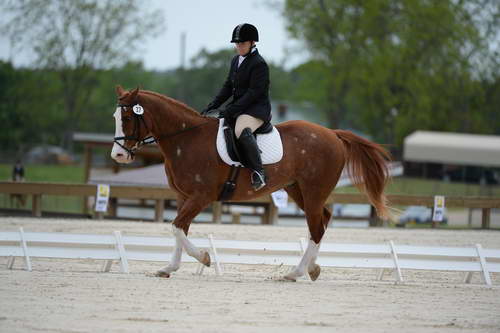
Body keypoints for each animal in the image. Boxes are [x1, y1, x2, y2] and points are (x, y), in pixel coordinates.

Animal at [111, 85, 392, 280]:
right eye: (115, 117)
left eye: (127, 118)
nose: (119, 156)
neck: (186, 139)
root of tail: (333, 133)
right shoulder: (183, 197)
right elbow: (180, 230)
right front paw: (168, 268)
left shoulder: (201, 196)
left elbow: (177, 227)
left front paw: (204, 258)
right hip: (297, 189)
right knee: (322, 220)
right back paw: (310, 269)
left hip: (313, 191)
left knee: (316, 227)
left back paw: (296, 273)